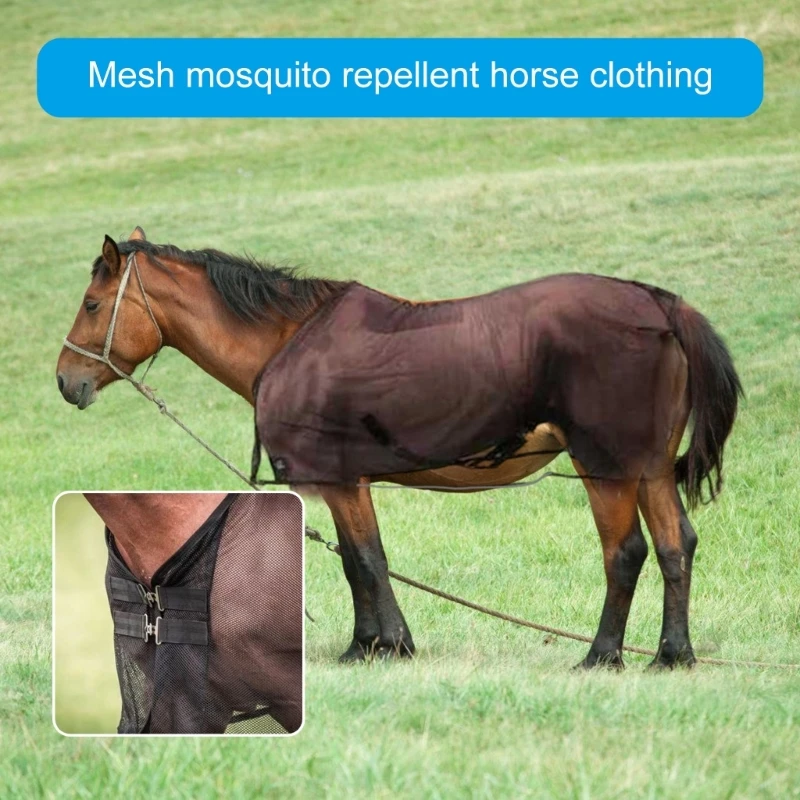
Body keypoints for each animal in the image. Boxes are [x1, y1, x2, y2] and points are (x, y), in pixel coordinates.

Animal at [57, 228, 742, 669]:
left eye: (92, 303)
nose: (68, 381)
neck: (288, 341)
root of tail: (657, 302)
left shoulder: (339, 481)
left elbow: (365, 560)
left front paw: (388, 646)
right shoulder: (345, 483)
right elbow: (356, 560)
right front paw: (366, 644)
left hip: (606, 466)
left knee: (625, 553)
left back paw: (602, 656)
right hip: (648, 468)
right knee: (676, 546)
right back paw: (671, 656)